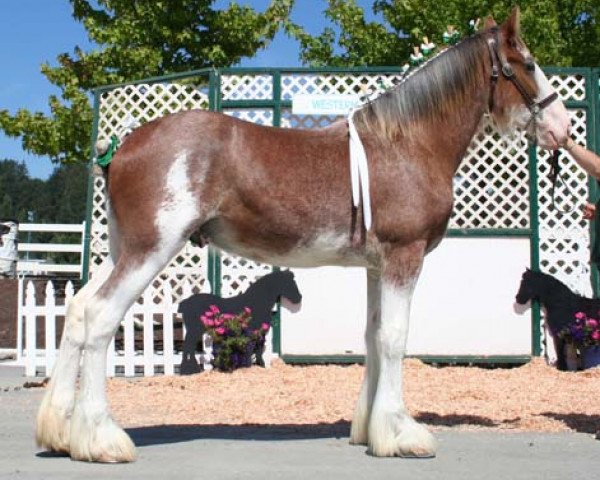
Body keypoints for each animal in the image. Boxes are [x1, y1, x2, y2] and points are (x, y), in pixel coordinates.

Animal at [35, 9, 568, 464]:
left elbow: (373, 335)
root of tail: (123, 145)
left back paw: (59, 433)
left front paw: (370, 430)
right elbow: (395, 338)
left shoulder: (377, 265)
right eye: (529, 64)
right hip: (151, 250)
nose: (562, 126)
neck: (406, 143)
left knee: (77, 311)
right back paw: (101, 440)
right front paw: (402, 434)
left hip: (123, 250)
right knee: (101, 318)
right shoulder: (404, 256)